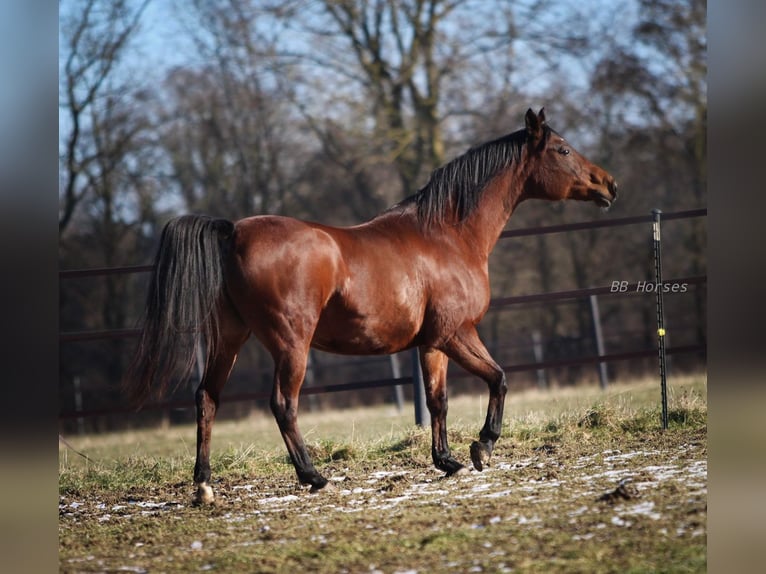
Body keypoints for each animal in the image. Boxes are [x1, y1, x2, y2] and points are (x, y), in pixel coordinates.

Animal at [126, 108, 616, 504]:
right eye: (563, 149)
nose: (609, 184)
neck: (448, 235)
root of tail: (233, 232)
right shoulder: (456, 332)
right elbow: (499, 379)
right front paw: (482, 448)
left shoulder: (432, 343)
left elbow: (438, 401)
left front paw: (447, 460)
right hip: (290, 343)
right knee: (283, 404)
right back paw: (314, 476)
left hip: (230, 336)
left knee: (207, 398)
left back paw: (204, 486)